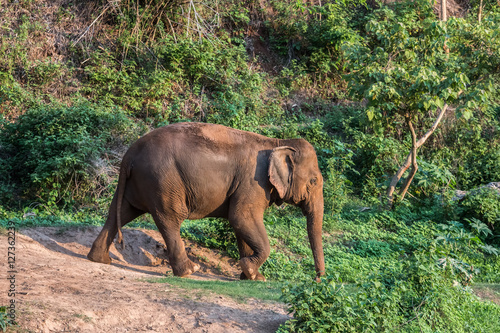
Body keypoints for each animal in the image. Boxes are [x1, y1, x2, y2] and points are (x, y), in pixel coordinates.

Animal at [88, 120, 326, 278]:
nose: (318, 279)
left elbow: (241, 227)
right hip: (162, 180)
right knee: (170, 217)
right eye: (314, 181)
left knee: (121, 211)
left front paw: (253, 277)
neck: (277, 142)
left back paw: (99, 259)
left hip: (139, 182)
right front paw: (250, 270)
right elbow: (241, 218)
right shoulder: (253, 182)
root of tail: (129, 154)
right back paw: (189, 271)